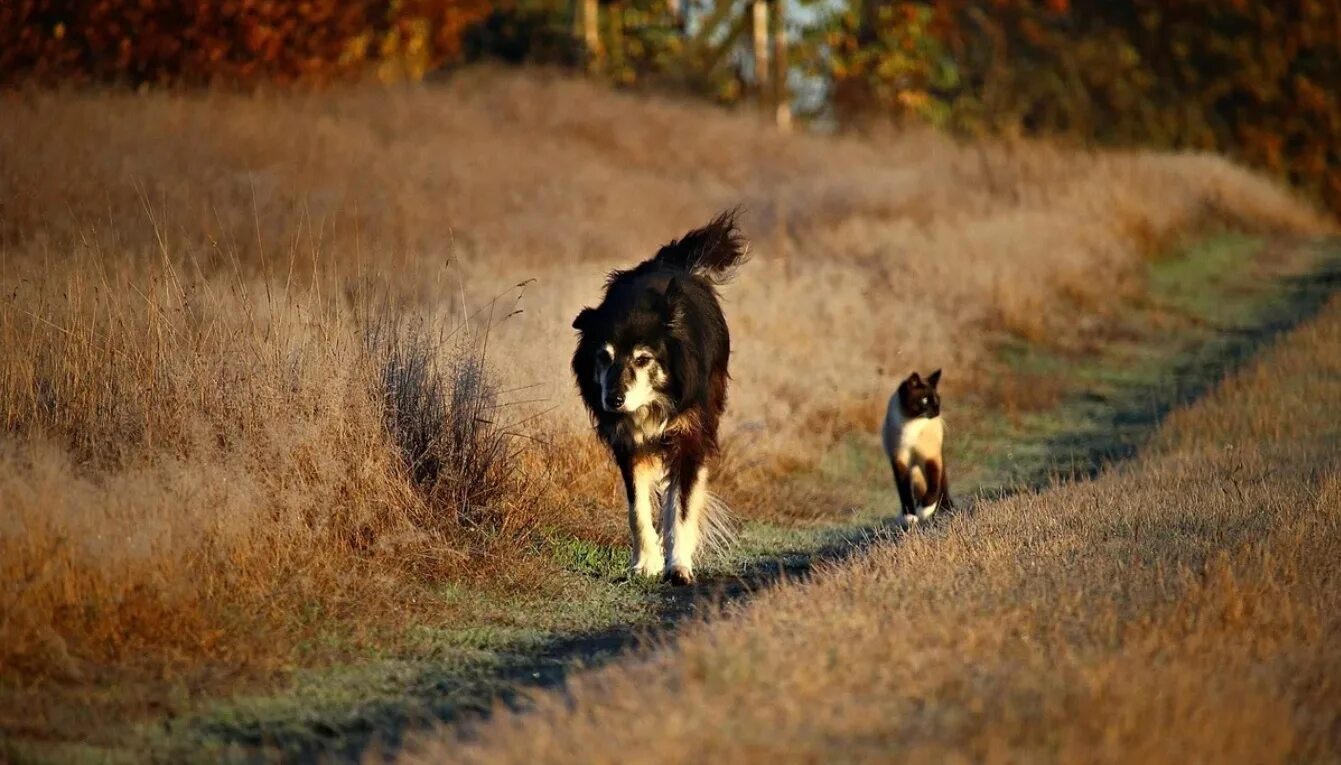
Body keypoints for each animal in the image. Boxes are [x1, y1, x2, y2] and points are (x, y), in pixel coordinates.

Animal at [571, 209, 750, 582]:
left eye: (643, 359)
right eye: (603, 357)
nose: (614, 401)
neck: (652, 403)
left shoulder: (689, 433)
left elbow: (681, 505)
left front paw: (678, 567)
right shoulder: (629, 444)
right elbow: (637, 507)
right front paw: (645, 564)